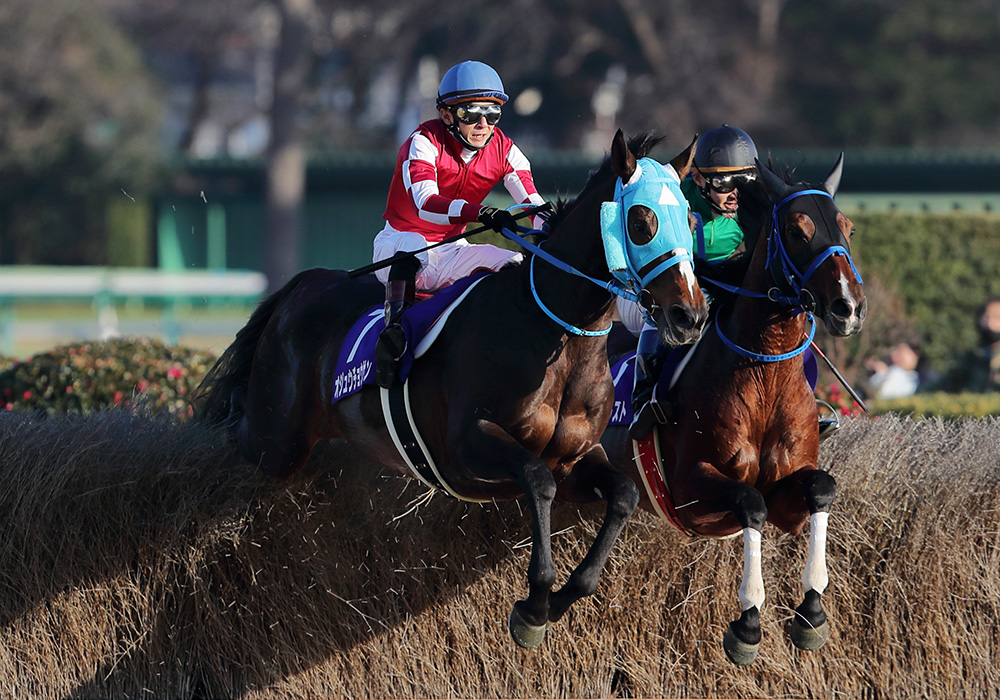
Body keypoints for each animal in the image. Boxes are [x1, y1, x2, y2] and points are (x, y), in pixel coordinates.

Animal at [193, 133, 712, 652]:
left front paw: (561, 598)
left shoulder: (575, 460)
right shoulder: (467, 447)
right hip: (276, 440)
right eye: (641, 222)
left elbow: (623, 493)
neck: (554, 331)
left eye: (690, 220)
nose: (690, 316)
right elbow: (537, 480)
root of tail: (306, 282)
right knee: (238, 425)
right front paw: (534, 605)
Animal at [600, 156, 868, 664]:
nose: (849, 306)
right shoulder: (690, 496)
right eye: (797, 230)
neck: (763, 376)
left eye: (847, 227)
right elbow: (750, 502)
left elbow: (821, 488)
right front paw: (748, 622)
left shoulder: (790, 494)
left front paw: (812, 612)